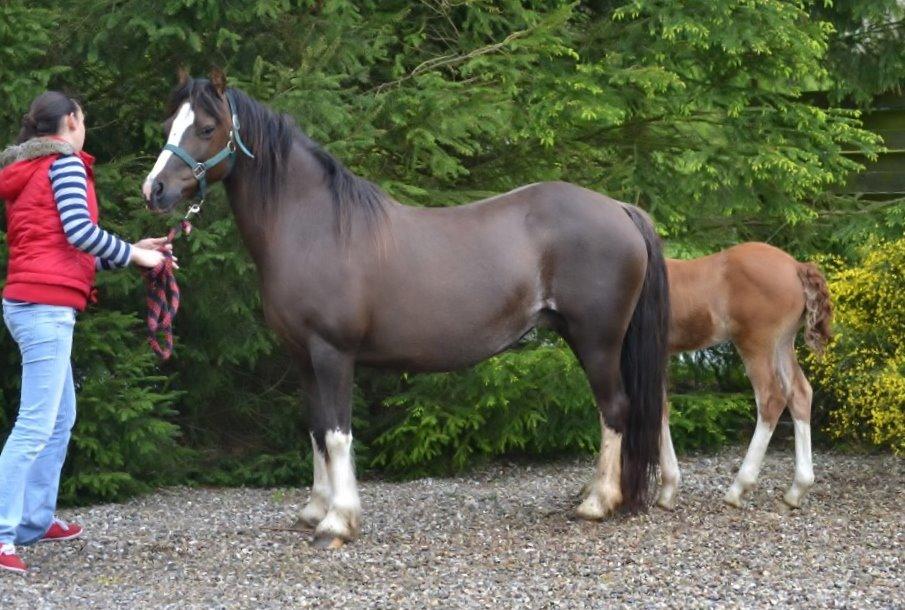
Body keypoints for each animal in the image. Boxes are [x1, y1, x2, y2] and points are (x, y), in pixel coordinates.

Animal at [139, 71, 664, 548]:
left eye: (207, 127)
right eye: (168, 122)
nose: (155, 190)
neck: (314, 227)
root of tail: (621, 209)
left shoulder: (332, 353)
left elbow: (337, 434)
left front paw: (338, 522)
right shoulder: (301, 357)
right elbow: (315, 430)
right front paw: (315, 510)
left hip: (596, 339)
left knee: (615, 409)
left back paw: (597, 502)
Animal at [652, 241, 828, 508]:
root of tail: (796, 266)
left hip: (755, 344)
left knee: (771, 398)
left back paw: (738, 488)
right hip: (782, 344)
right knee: (799, 393)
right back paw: (797, 488)